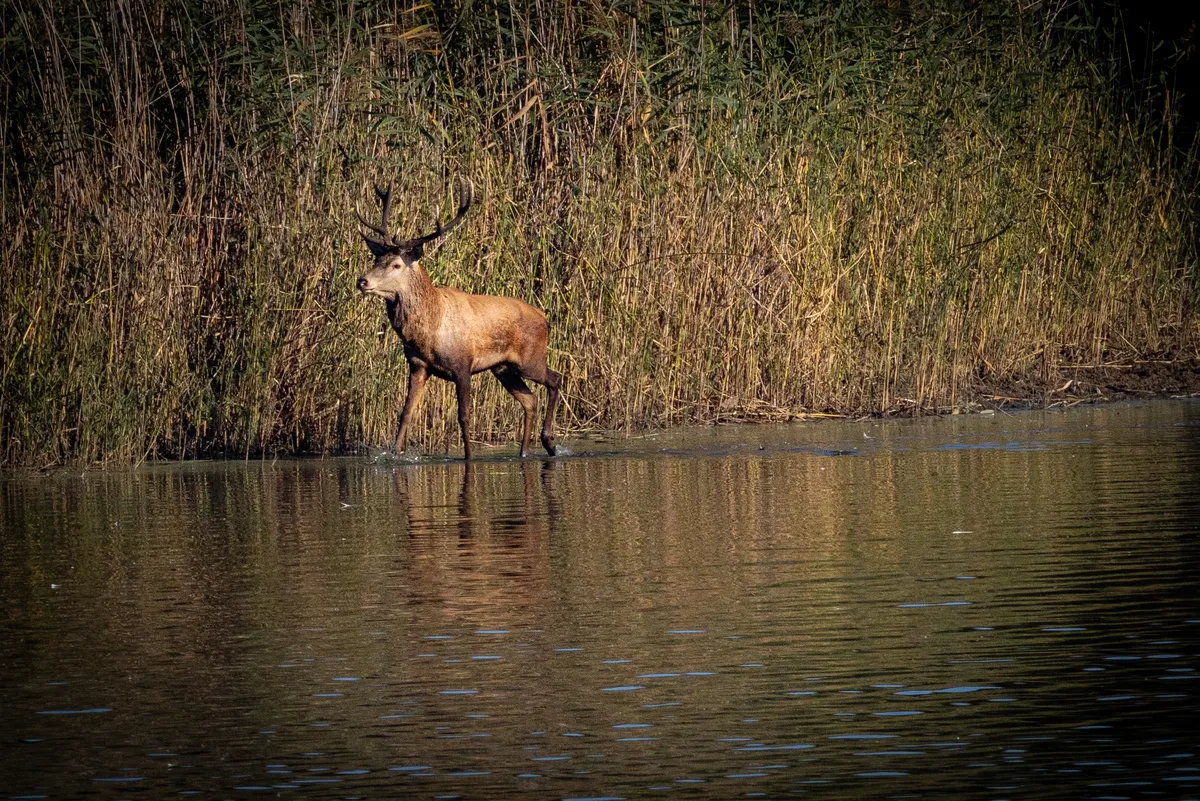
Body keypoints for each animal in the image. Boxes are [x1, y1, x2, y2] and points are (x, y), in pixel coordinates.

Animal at [355, 178, 562, 461]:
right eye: (377, 258)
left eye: (396, 264)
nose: (362, 281)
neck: (429, 331)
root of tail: (545, 318)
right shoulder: (418, 366)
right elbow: (405, 413)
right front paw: (395, 454)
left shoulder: (463, 365)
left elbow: (464, 416)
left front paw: (468, 457)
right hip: (503, 367)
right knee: (530, 400)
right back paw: (525, 452)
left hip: (531, 359)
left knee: (555, 379)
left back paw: (550, 441)